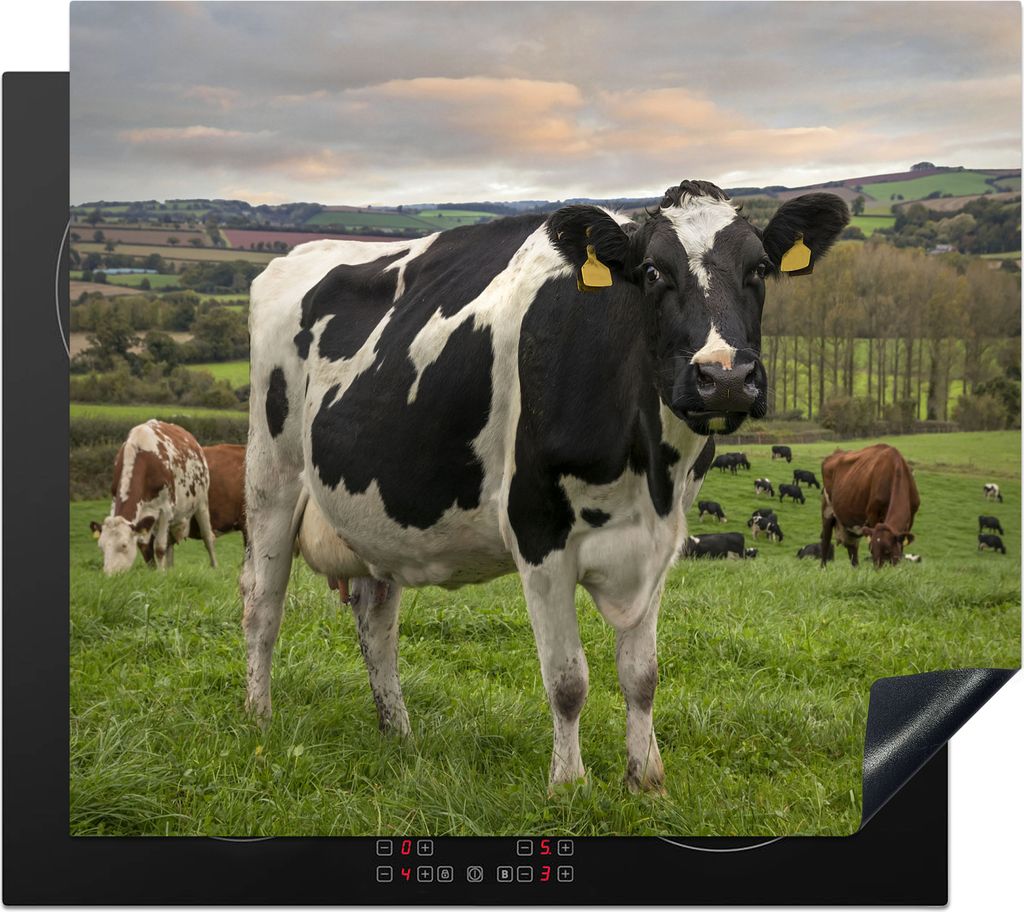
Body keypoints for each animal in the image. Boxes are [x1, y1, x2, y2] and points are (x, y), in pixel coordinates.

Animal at [90, 420, 216, 574]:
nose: (110, 575)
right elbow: (146, 548)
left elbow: (159, 548)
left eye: (124, 545)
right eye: (101, 547)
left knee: (208, 537)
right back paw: (170, 569)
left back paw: (215, 567)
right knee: (169, 543)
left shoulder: (166, 510)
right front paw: (155, 573)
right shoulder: (117, 504)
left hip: (201, 503)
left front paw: (161, 575)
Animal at [240, 178, 847, 792]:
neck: (648, 467)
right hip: (271, 474)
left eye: (760, 268)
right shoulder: (538, 532)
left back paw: (398, 733)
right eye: (652, 271)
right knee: (262, 602)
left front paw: (646, 780)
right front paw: (568, 785)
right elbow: (568, 680)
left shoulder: (662, 540)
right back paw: (258, 717)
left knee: (376, 617)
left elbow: (642, 674)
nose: (723, 377)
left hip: (372, 517)